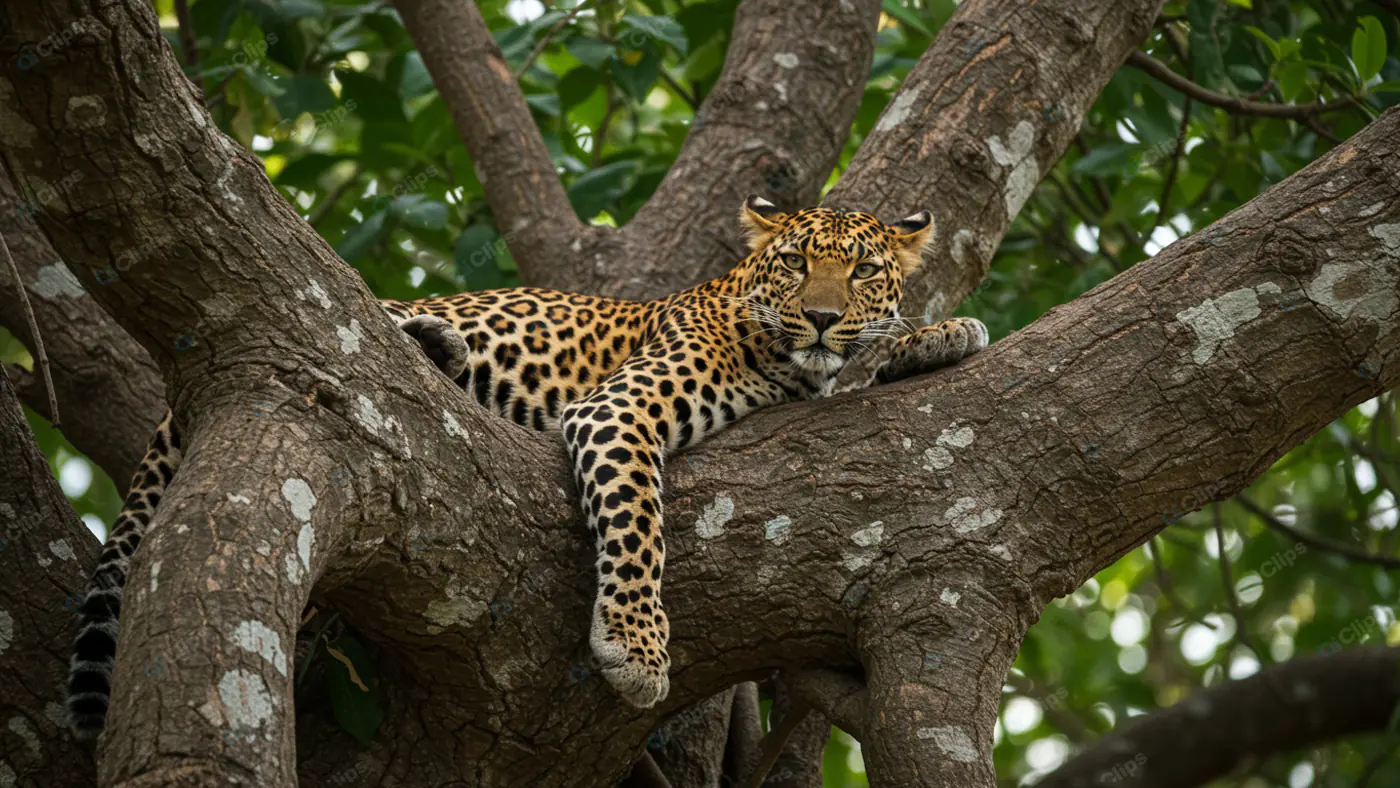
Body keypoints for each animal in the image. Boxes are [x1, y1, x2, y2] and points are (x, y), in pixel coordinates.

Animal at [66, 196, 989, 738]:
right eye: (795, 263)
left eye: (862, 269)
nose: (824, 317)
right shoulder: (618, 412)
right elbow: (640, 526)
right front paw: (636, 647)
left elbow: (873, 356)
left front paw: (938, 334)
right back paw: (425, 344)